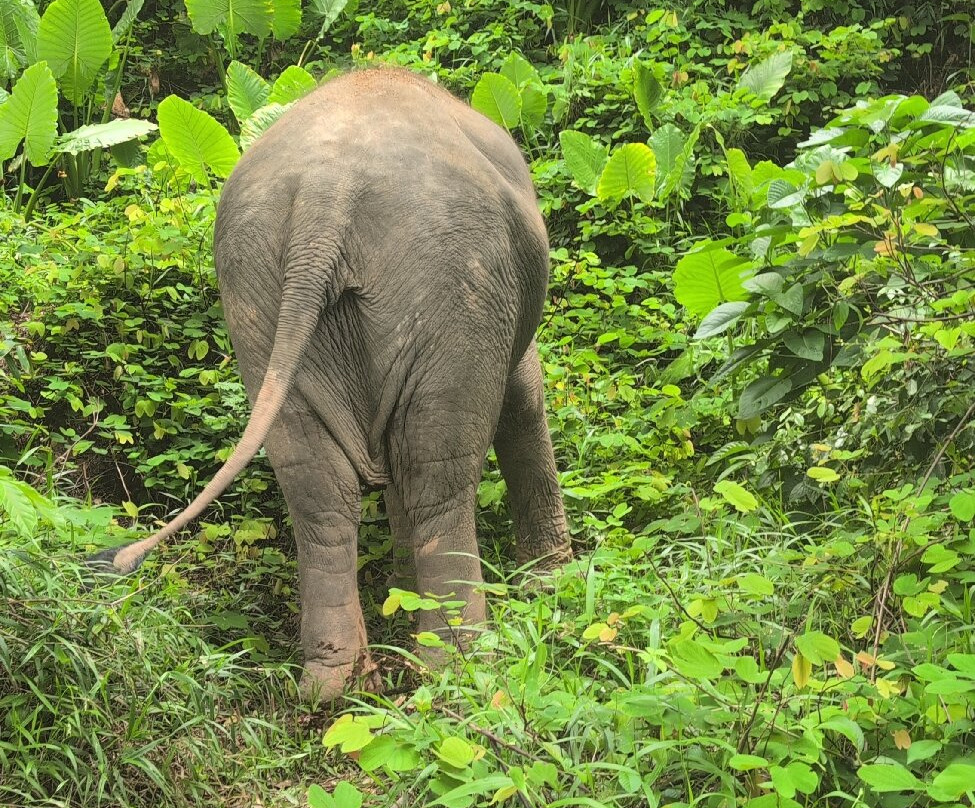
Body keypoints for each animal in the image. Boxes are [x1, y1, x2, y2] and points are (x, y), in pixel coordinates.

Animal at [95, 67, 572, 701]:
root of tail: (327, 190)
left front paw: (401, 593)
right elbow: (523, 394)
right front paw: (549, 583)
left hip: (257, 297)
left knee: (315, 481)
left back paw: (335, 682)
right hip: (455, 281)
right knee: (437, 471)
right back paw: (461, 669)